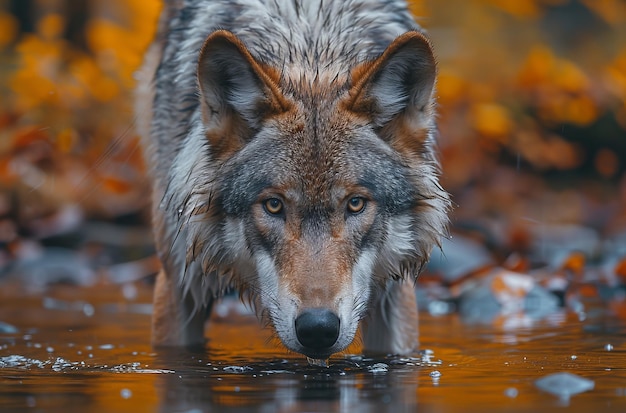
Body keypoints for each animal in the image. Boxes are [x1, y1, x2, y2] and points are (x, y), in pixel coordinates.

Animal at [136, 0, 448, 358]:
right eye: (273, 205)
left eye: (356, 203)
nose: (318, 328)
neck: (310, 47)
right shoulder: (179, 284)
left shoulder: (395, 294)